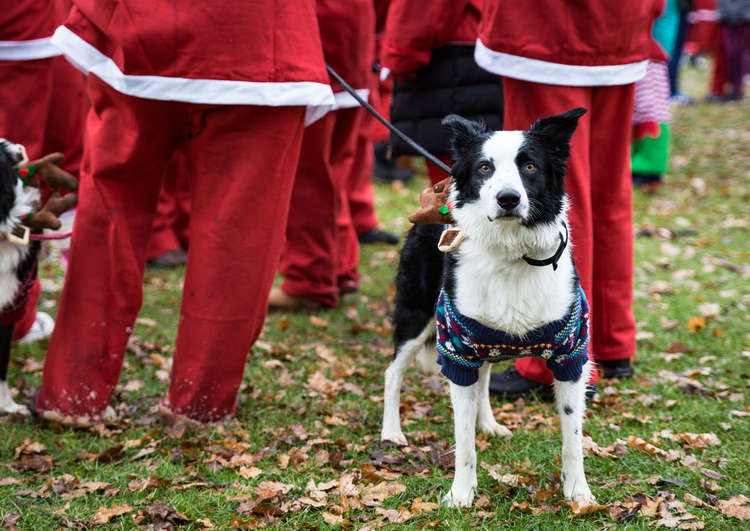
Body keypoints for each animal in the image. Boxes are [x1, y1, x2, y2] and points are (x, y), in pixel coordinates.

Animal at [382, 107, 600, 508]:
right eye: (485, 168)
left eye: (529, 166)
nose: (508, 198)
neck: (513, 252)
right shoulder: (458, 353)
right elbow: (464, 441)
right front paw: (460, 494)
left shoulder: (570, 355)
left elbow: (573, 438)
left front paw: (578, 492)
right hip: (418, 314)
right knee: (393, 371)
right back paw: (391, 432)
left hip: (484, 339)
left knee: (483, 380)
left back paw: (488, 423)